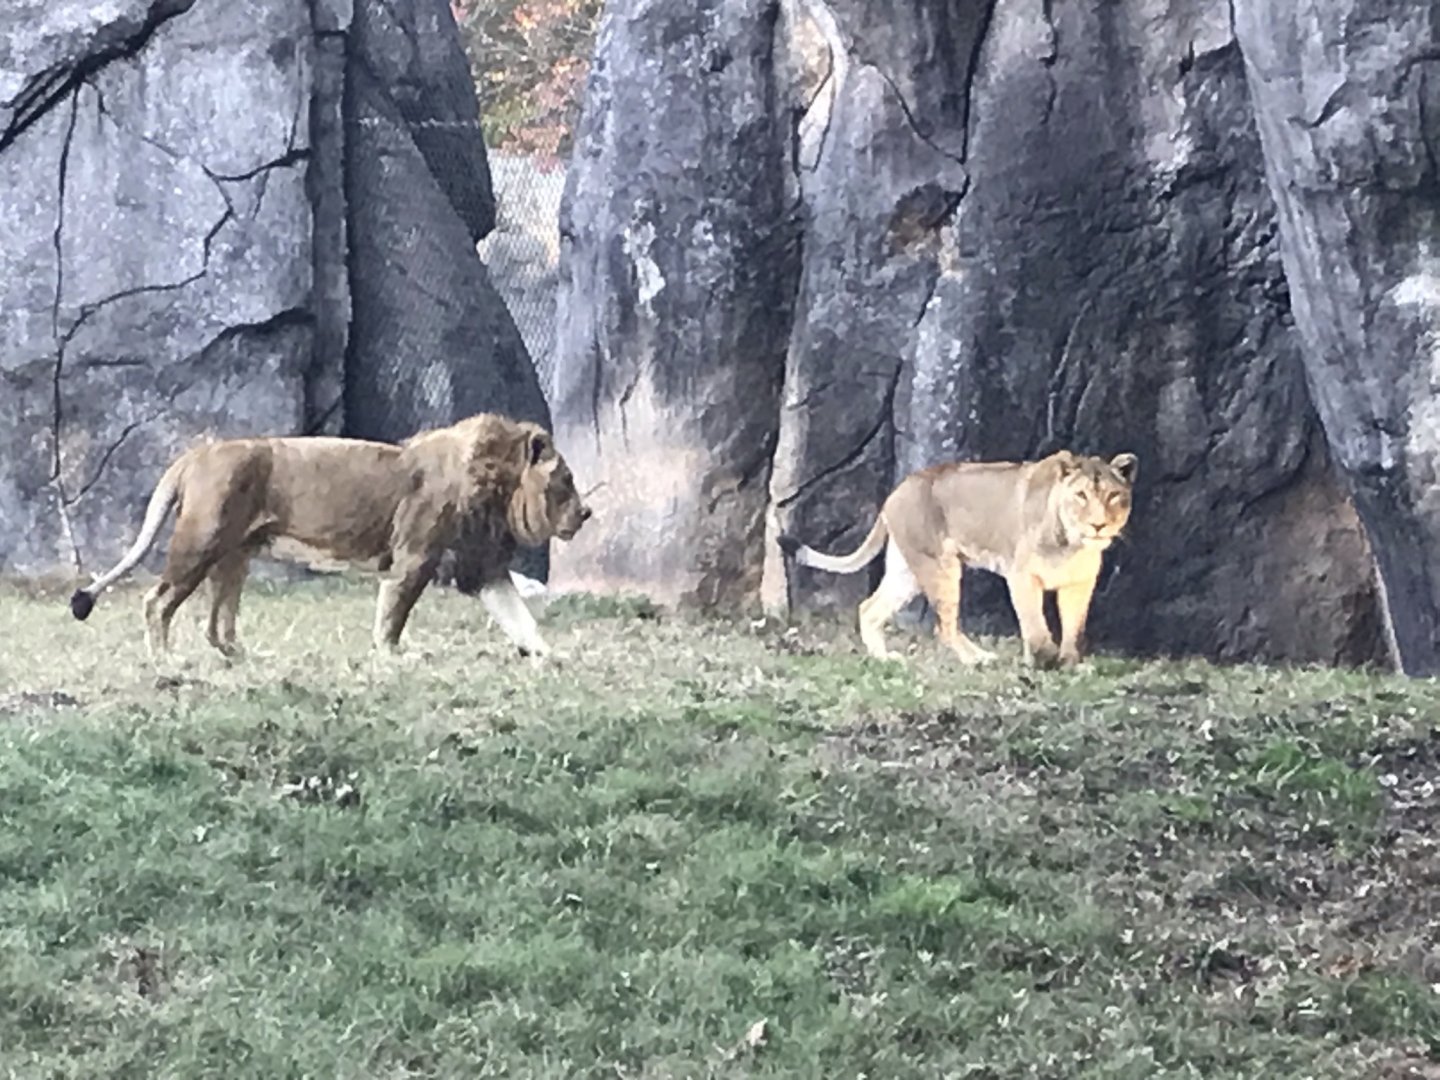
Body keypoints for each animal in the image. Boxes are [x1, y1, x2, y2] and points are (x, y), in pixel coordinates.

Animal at [68, 413, 592, 660]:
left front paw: (550, 657)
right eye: (565, 481)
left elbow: (522, 620)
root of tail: (195, 454)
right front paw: (392, 655)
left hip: (235, 554)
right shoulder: (415, 558)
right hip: (203, 540)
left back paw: (244, 656)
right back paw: (166, 661)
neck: (498, 489)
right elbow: (393, 615)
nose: (586, 513)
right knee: (157, 601)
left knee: (217, 623)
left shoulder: (482, 568)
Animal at [779, 449, 1138, 668]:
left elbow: (1074, 627)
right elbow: (1034, 624)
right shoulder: (1020, 576)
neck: (1073, 545)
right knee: (945, 627)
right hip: (940, 566)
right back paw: (977, 659)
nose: (1098, 525)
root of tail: (897, 489)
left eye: (1113, 495)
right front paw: (1042, 660)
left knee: (869, 608)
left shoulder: (1080, 583)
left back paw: (885, 658)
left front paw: (1070, 664)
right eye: (1081, 496)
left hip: (907, 570)